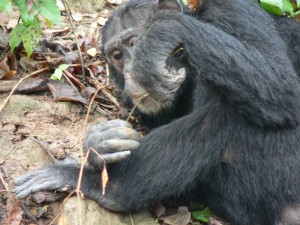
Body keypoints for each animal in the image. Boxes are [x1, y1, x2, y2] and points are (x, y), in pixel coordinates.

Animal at [15, 0, 300, 225]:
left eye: (135, 43)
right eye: (117, 55)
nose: (130, 71)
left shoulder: (235, 10)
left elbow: (279, 79)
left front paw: (161, 32)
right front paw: (101, 142)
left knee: (225, 113)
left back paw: (101, 185)